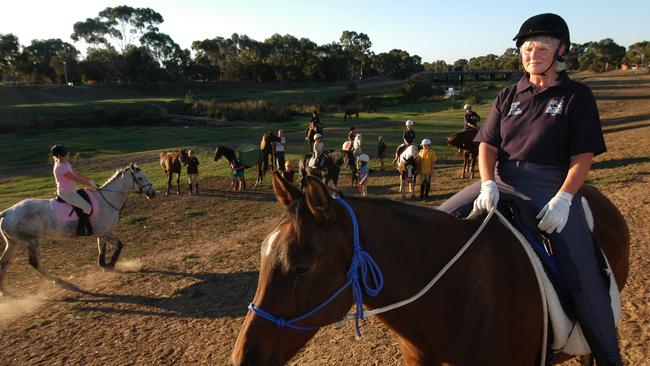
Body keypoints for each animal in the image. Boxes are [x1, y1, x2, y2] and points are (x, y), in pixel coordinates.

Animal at [0, 164, 156, 296]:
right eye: (140, 178)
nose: (153, 193)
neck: (106, 200)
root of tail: (7, 212)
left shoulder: (101, 232)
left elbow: (101, 248)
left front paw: (104, 265)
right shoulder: (104, 232)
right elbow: (119, 244)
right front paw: (111, 264)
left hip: (13, 243)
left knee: (4, 263)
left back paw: (5, 291)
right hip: (31, 242)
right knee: (34, 262)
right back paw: (57, 280)